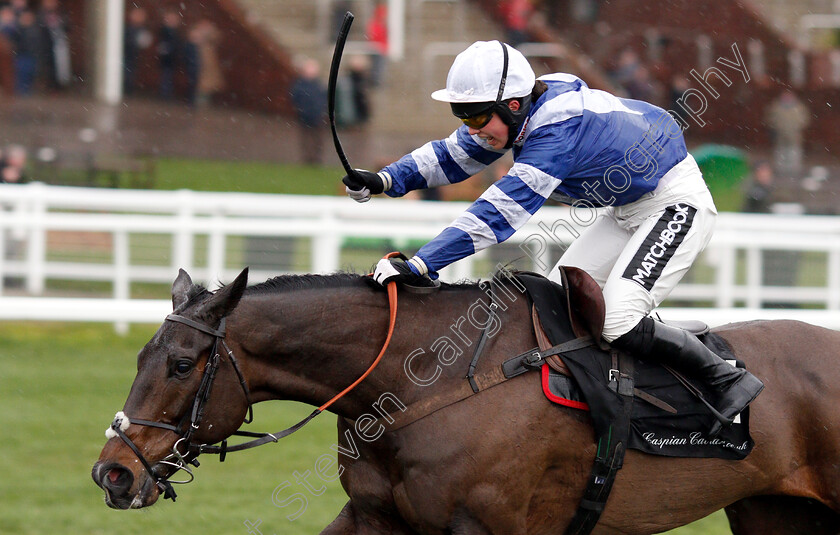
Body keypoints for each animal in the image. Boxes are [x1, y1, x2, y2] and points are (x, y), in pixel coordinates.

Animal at [92, 270, 840, 532]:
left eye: (181, 364)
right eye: (139, 359)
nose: (113, 472)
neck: (420, 383)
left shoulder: (480, 526)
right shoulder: (376, 518)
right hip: (775, 514)